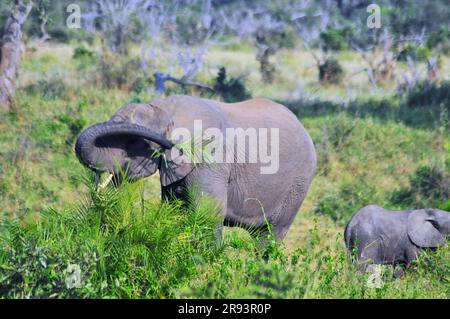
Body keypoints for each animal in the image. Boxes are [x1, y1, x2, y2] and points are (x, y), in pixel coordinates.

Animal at [74, 95, 316, 242]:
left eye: (133, 141)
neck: (165, 109)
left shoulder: (212, 160)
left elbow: (207, 214)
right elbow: (176, 210)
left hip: (297, 185)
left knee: (270, 235)